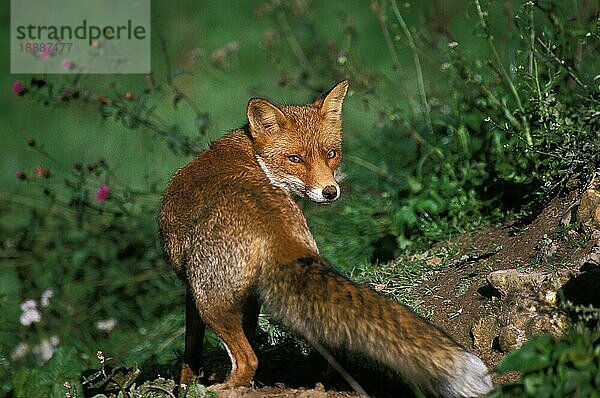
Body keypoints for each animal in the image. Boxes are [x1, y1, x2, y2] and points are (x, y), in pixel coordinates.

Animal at [159, 81, 492, 398]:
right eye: (295, 158)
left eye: (330, 153)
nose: (330, 191)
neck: (250, 154)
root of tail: (273, 227)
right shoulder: (250, 298)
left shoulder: (190, 290)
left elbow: (190, 352)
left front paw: (184, 387)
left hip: (209, 302)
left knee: (248, 359)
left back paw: (223, 388)